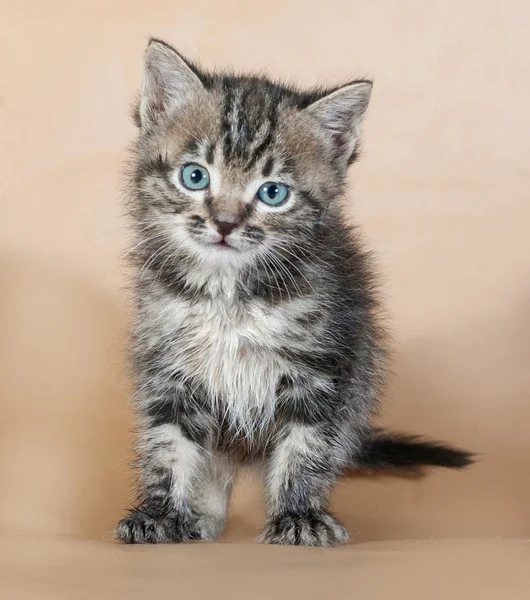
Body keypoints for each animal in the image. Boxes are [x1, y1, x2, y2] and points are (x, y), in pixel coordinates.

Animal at [114, 36, 470, 544]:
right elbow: (168, 444)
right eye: (195, 176)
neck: (230, 294)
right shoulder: (170, 367)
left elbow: (306, 448)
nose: (224, 223)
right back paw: (201, 517)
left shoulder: (323, 369)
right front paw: (162, 515)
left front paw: (299, 516)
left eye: (273, 193)